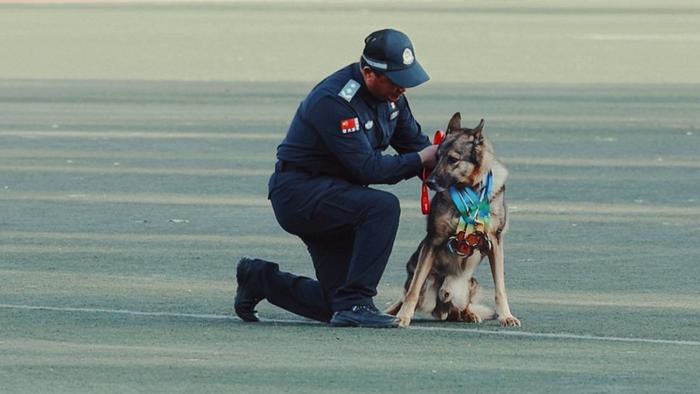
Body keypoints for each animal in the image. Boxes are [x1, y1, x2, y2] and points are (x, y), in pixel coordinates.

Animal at [388, 113, 520, 326]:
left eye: (452, 159)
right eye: (436, 157)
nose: (429, 182)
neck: (470, 189)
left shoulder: (495, 242)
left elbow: (500, 287)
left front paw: (506, 316)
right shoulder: (433, 240)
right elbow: (413, 290)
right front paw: (403, 317)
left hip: (469, 284)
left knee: (457, 308)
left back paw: (467, 314)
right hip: (429, 283)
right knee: (415, 294)